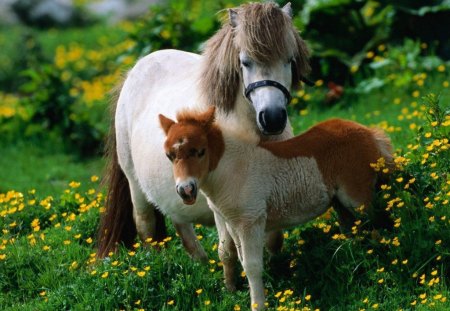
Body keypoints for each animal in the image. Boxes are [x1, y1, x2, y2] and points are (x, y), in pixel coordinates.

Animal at [96, 2, 312, 260]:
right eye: (245, 62)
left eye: (289, 60)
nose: (272, 118)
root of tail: (133, 72)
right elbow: (231, 248)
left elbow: (274, 240)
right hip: (134, 183)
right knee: (145, 224)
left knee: (180, 222)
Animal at [160, 106, 392, 310]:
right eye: (169, 156)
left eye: (200, 152)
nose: (186, 190)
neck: (233, 169)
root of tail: (368, 132)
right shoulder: (233, 223)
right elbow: (236, 257)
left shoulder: (251, 222)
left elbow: (252, 266)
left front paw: (258, 306)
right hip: (339, 203)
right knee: (352, 228)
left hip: (357, 198)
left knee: (378, 223)